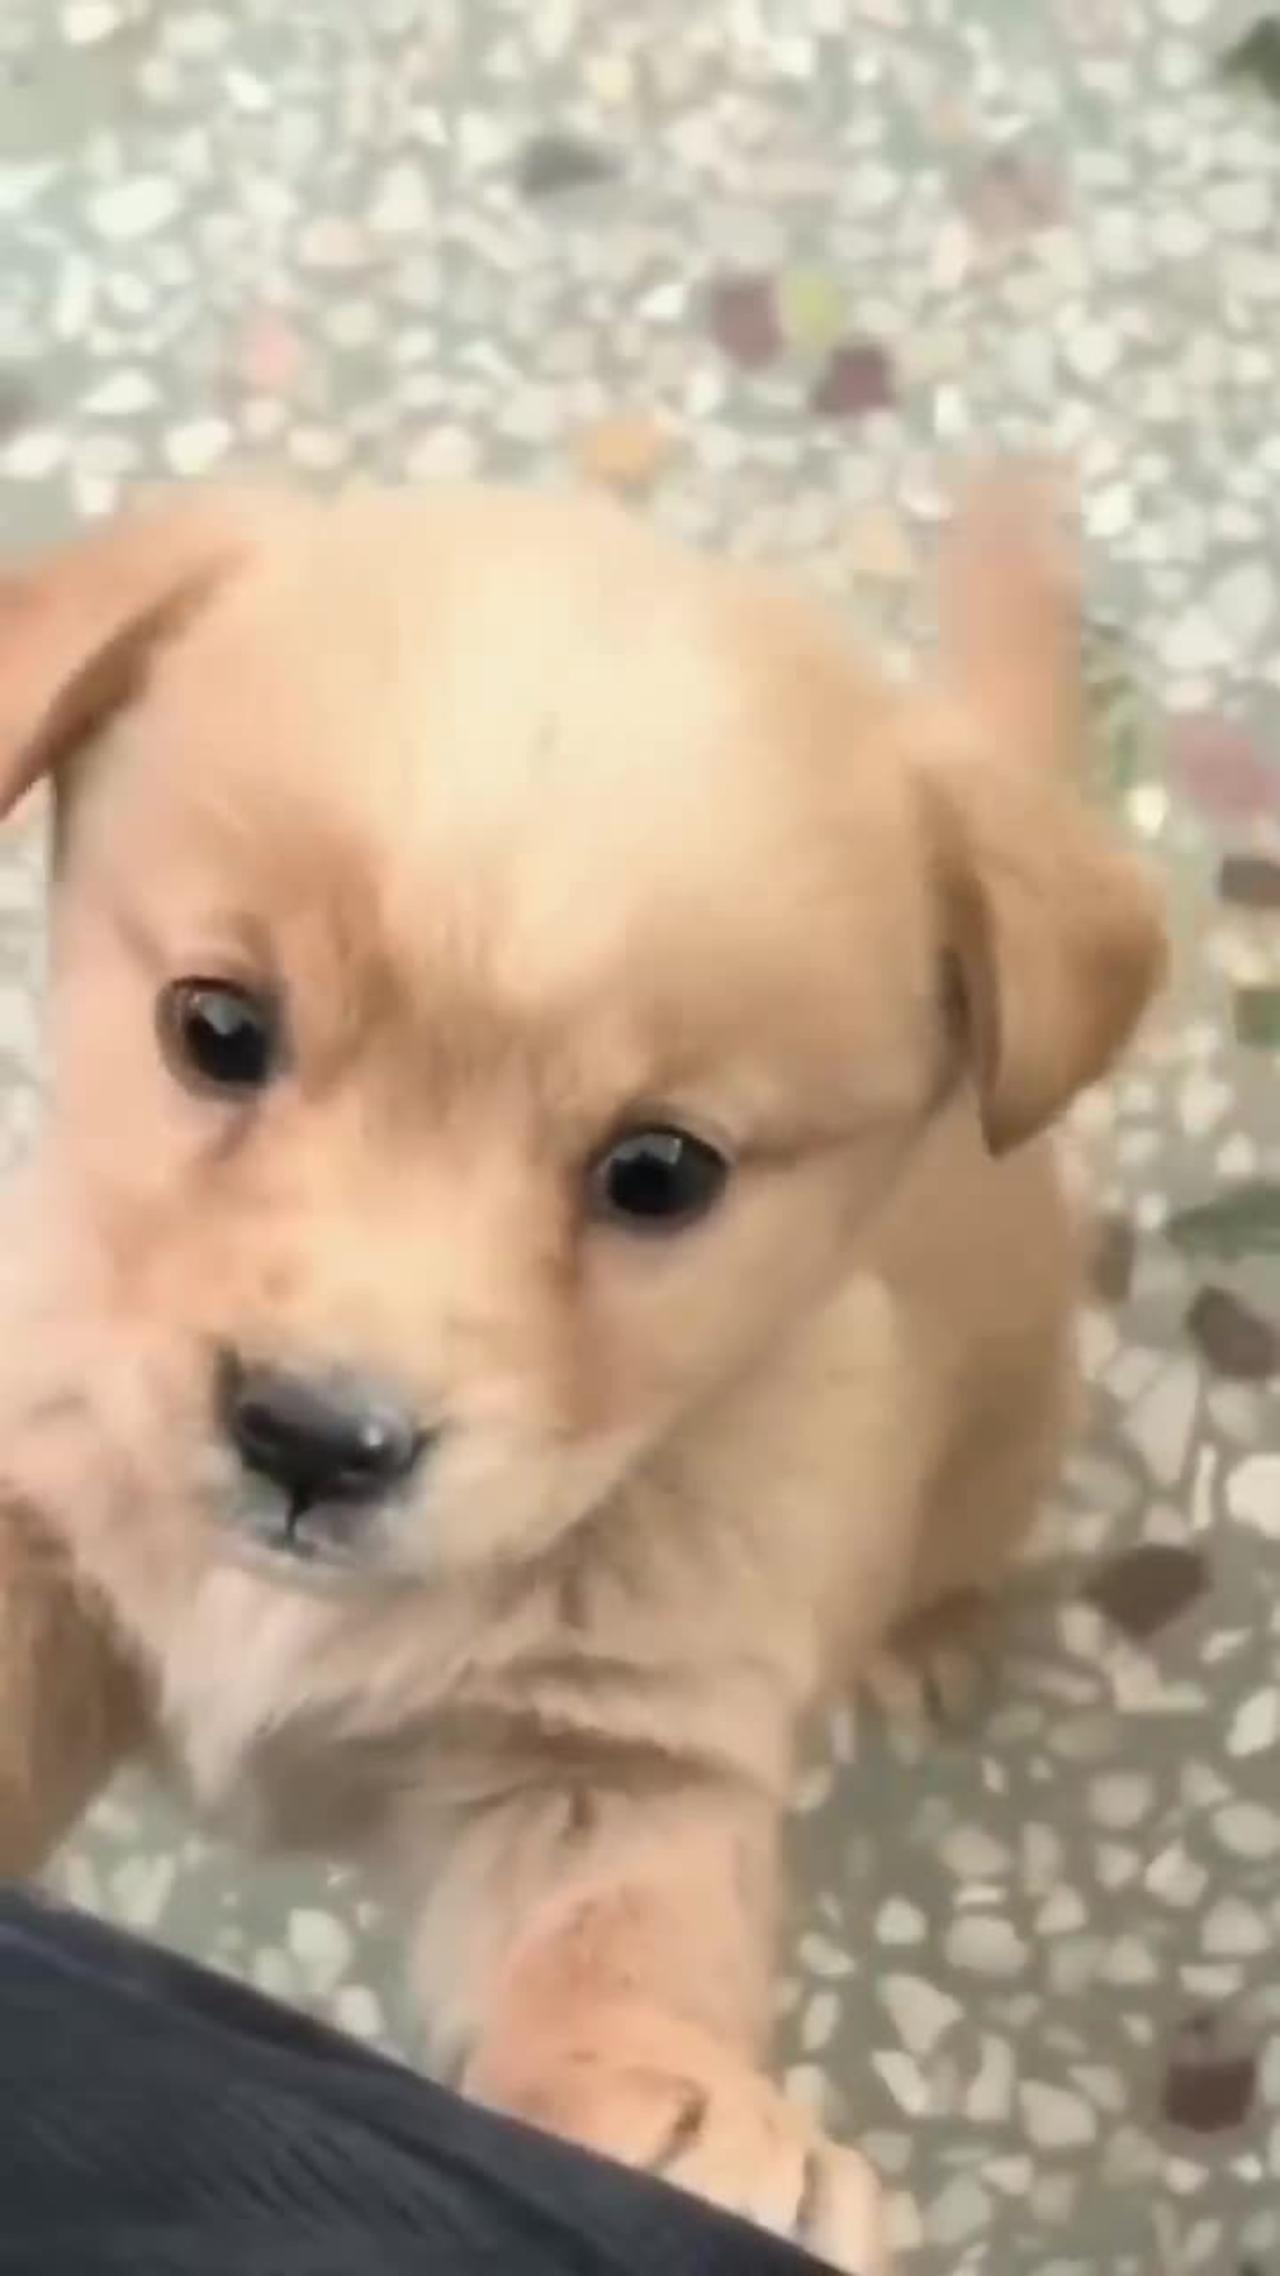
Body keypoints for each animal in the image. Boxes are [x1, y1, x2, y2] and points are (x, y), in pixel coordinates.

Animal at [0, 471, 1161, 2266]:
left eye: (661, 1173)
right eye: (214, 1028)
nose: (312, 1442)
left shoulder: (615, 1752)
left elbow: (620, 1943)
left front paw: (675, 2109)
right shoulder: (48, 1526)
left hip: (1011, 1433)